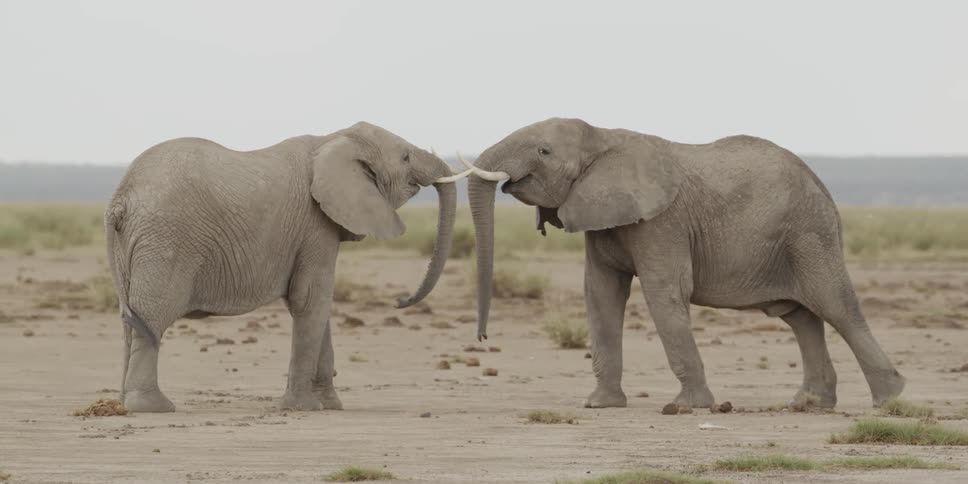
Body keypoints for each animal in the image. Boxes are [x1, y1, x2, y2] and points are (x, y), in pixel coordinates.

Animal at [104, 121, 470, 412]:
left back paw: (123, 404)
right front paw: (302, 408)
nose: (401, 301)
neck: (333, 138)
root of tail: (120, 199)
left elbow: (317, 307)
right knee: (153, 318)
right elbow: (310, 299)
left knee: (130, 320)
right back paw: (153, 407)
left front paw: (331, 406)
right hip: (166, 241)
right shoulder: (315, 225)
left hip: (134, 247)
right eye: (405, 158)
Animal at [463, 117, 905, 409]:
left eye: (544, 151)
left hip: (809, 233)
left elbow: (665, 292)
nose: (483, 338)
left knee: (835, 307)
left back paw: (889, 399)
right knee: (801, 317)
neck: (604, 138)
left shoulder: (664, 221)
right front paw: (600, 405)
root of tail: (822, 186)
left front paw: (687, 407)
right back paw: (808, 404)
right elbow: (601, 295)